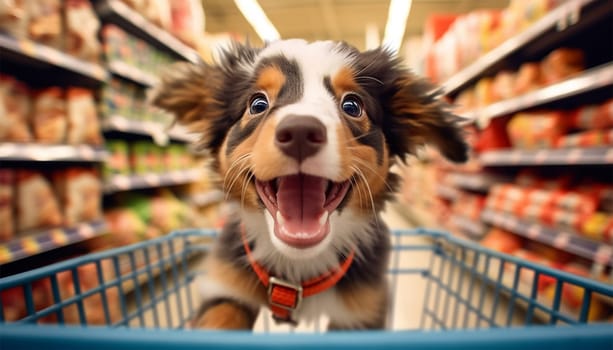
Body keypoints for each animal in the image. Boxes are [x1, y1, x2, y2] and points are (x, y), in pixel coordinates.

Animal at [151, 39, 466, 330]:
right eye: (257, 104)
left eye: (352, 105)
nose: (300, 131)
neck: (298, 269)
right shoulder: (227, 287)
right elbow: (217, 319)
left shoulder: (363, 311)